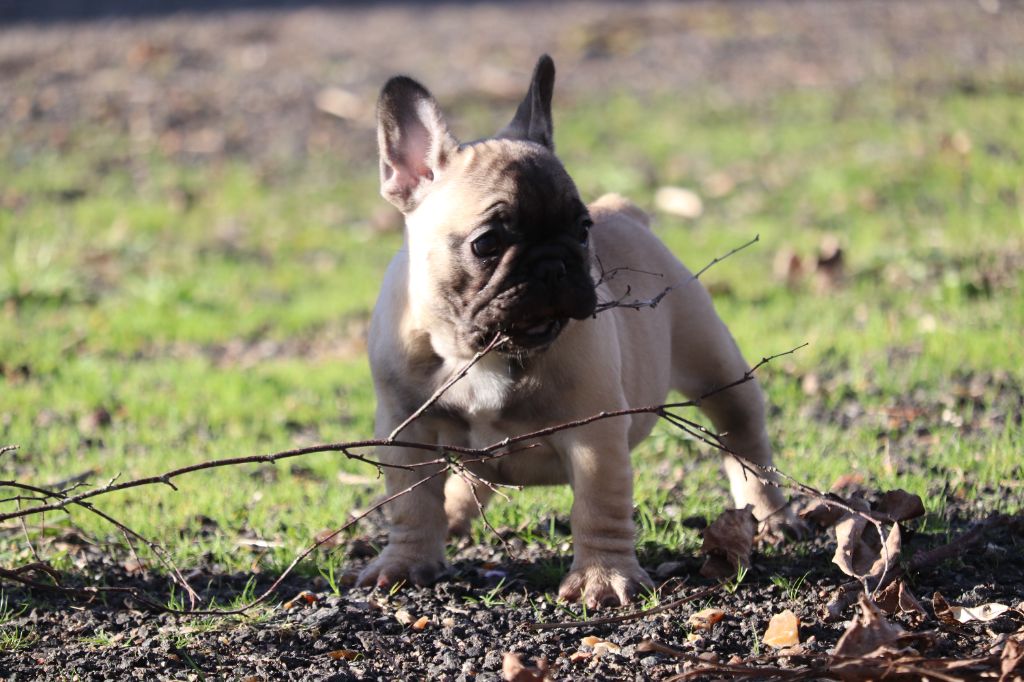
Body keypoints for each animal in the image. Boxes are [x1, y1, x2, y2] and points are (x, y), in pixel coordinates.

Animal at [360, 54, 790, 606]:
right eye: (487, 243)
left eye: (582, 229)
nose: (553, 263)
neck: (479, 351)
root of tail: (625, 210)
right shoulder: (406, 433)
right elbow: (410, 506)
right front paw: (407, 562)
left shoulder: (595, 438)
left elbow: (599, 507)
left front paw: (602, 578)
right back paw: (453, 516)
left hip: (717, 370)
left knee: (745, 439)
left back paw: (772, 515)